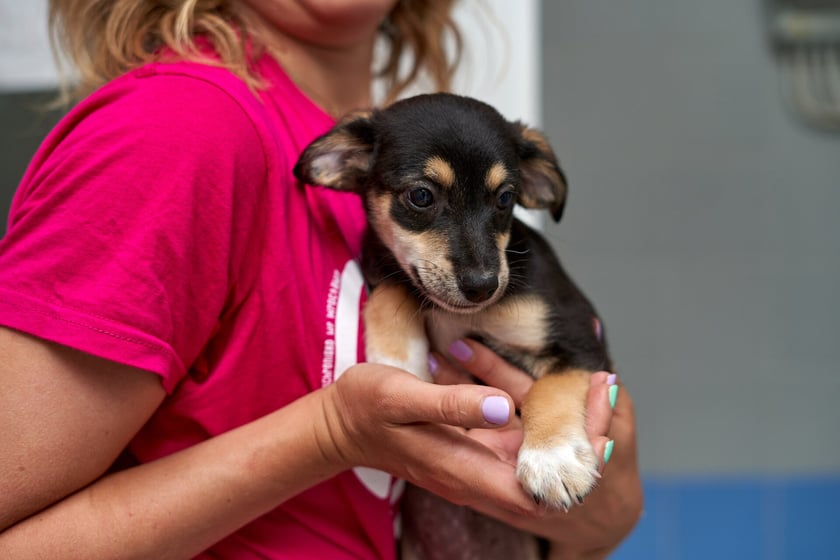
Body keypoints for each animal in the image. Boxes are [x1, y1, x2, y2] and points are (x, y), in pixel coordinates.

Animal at [296, 94, 612, 556]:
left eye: (505, 198)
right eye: (421, 196)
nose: (483, 286)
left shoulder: (579, 337)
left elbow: (549, 390)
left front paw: (552, 460)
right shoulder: (380, 261)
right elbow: (393, 291)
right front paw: (397, 362)